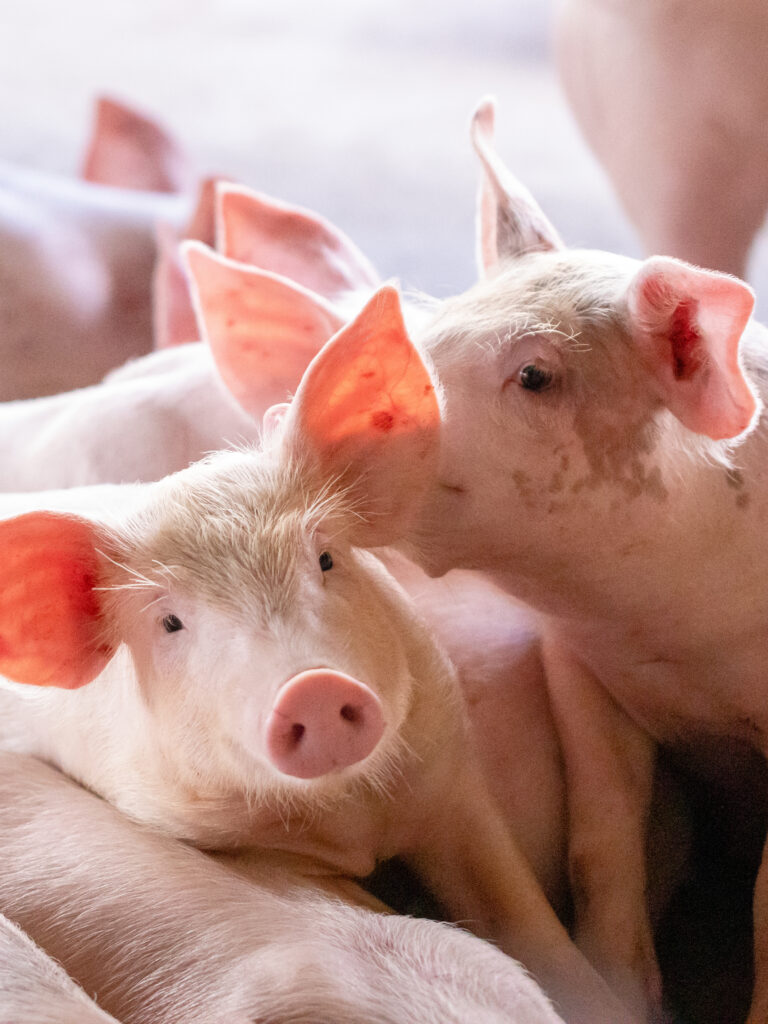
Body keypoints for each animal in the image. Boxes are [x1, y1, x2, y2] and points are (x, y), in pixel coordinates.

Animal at [300, 96, 768, 1022]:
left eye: (536, 376)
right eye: (431, 326)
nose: (314, 402)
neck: (678, 642)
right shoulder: (581, 668)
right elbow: (604, 838)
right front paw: (621, 998)